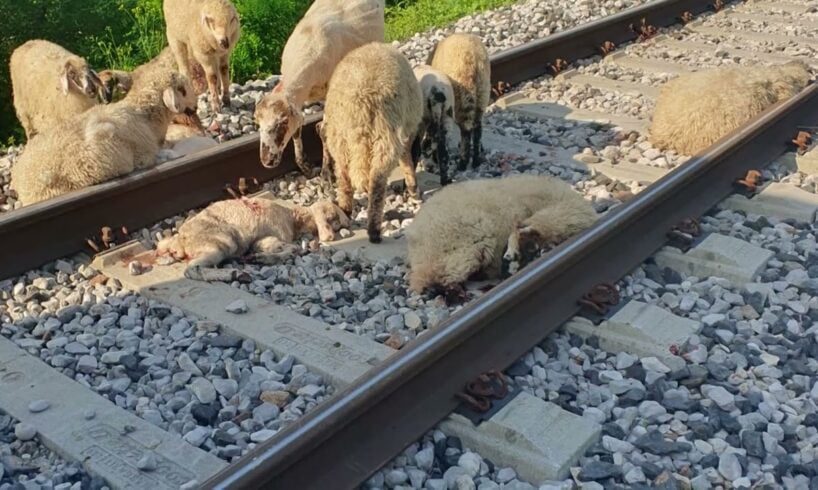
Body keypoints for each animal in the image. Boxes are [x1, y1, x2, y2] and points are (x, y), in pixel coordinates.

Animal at [156, 198, 350, 268]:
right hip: (225, 240)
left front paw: (260, 258)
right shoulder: (277, 232)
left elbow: (280, 248)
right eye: (334, 215)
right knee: (198, 264)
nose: (346, 222)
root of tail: (182, 243)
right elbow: (289, 249)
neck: (294, 217)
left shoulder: (265, 238)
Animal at [254, 0, 384, 178]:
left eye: (283, 122)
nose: (266, 161)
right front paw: (305, 167)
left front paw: (326, 172)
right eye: (257, 123)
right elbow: (298, 129)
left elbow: (323, 130)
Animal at [323, 42, 423, 244]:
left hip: (339, 138)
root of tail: (360, 104)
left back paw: (346, 210)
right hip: (385, 135)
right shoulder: (405, 131)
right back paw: (374, 232)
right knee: (377, 181)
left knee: (344, 178)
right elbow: (406, 160)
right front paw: (413, 189)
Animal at [427, 33, 491, 171]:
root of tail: (474, 61)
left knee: (466, 130)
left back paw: (463, 162)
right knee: (477, 128)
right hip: (482, 92)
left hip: (462, 94)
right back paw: (476, 159)